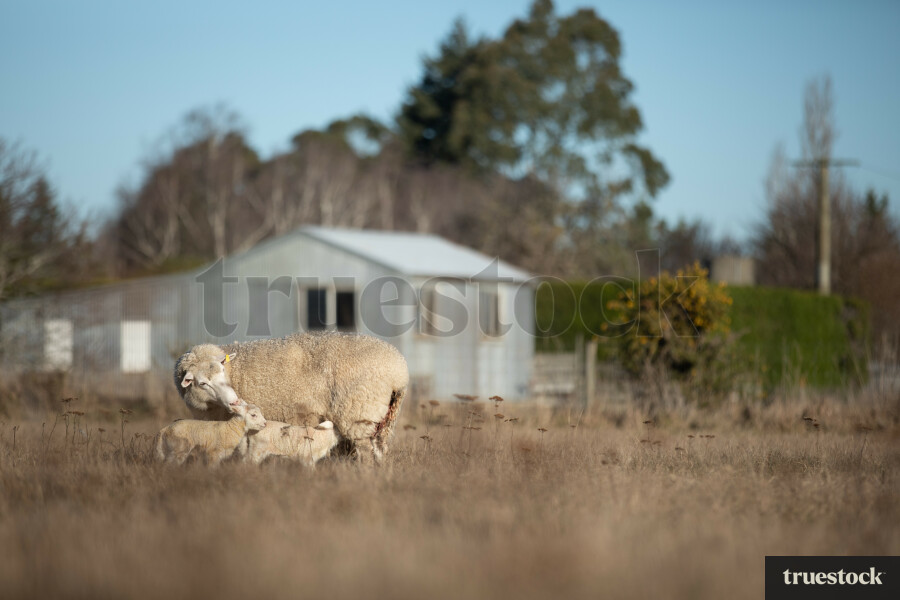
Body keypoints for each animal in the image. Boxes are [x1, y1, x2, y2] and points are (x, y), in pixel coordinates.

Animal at [173, 332, 408, 462]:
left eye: (223, 371)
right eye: (202, 383)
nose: (235, 401)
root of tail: (399, 371)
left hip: (358, 413)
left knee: (366, 453)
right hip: (384, 420)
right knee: (379, 451)